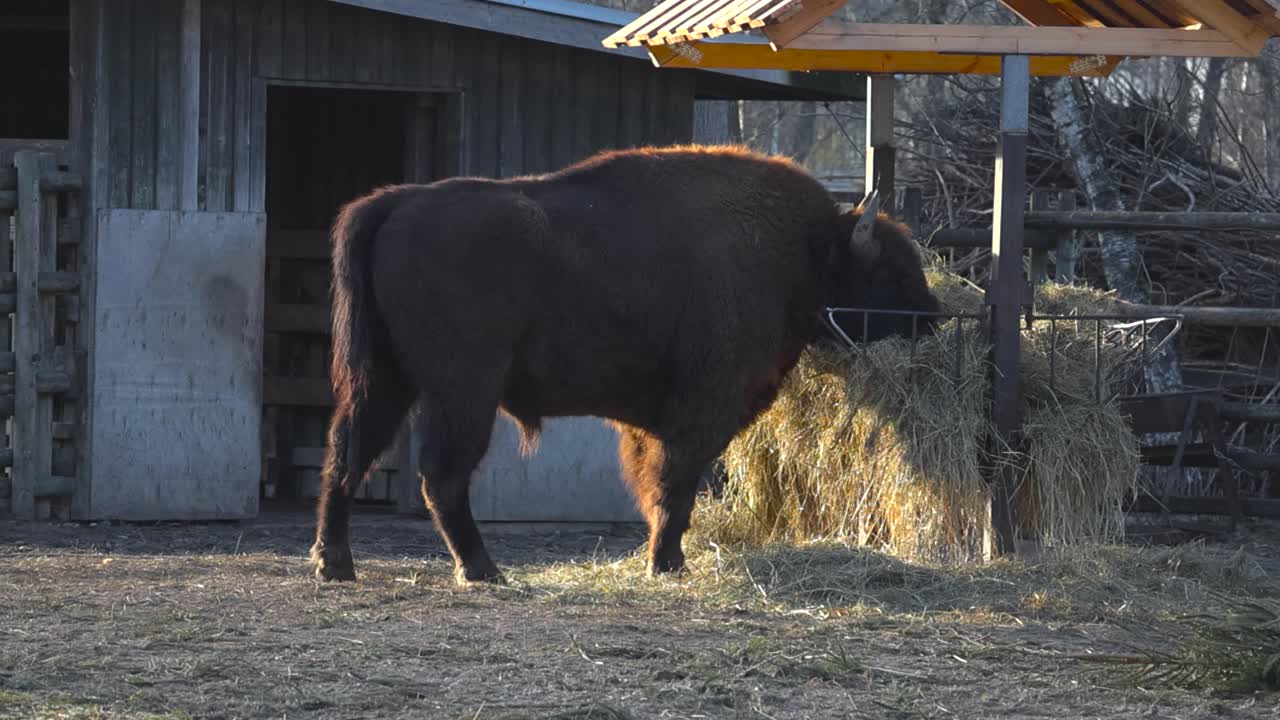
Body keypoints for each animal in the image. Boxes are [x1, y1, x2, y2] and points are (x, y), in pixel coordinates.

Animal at [310, 145, 941, 584]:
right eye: (892, 274)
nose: (933, 319)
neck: (803, 251)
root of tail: (398, 200)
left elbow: (656, 481)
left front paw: (661, 558)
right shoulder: (703, 409)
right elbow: (676, 484)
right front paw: (668, 563)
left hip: (385, 380)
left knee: (348, 452)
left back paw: (335, 563)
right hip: (464, 390)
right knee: (441, 473)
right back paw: (483, 570)